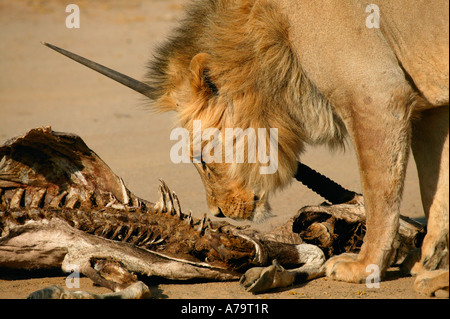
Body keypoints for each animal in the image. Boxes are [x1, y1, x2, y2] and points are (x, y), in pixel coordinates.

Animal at [146, 0, 448, 296]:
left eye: (201, 160)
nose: (216, 213)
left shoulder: (377, 96)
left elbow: (379, 198)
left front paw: (366, 266)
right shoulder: (432, 113)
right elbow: (434, 193)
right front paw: (426, 259)